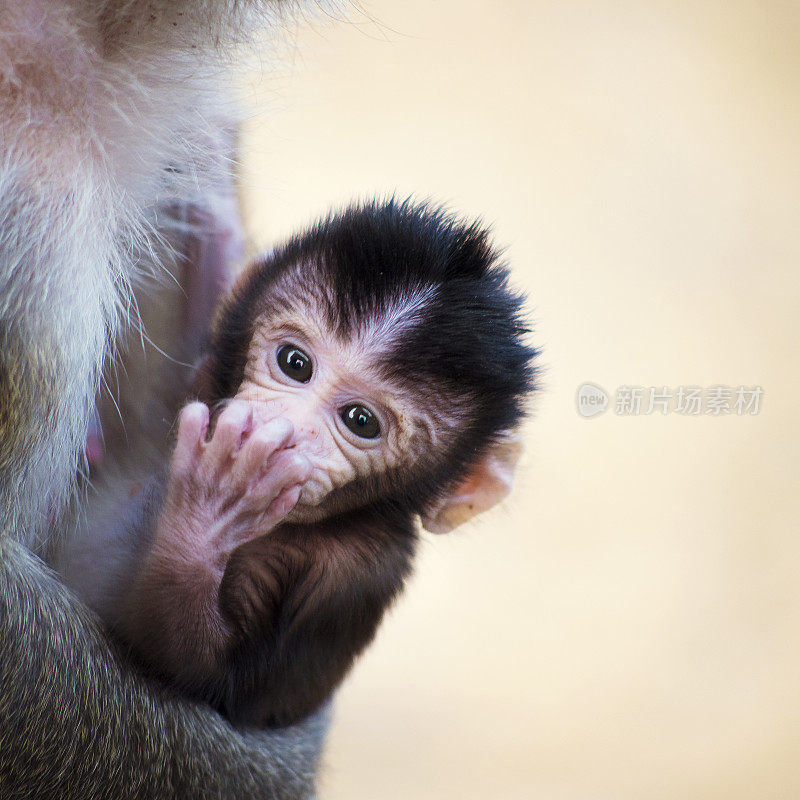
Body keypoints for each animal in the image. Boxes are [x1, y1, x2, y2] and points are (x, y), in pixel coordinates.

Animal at [101, 198, 536, 724]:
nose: (278, 429)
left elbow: (207, 680)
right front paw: (213, 241)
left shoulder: (358, 569)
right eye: (295, 363)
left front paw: (214, 503)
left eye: (361, 421)